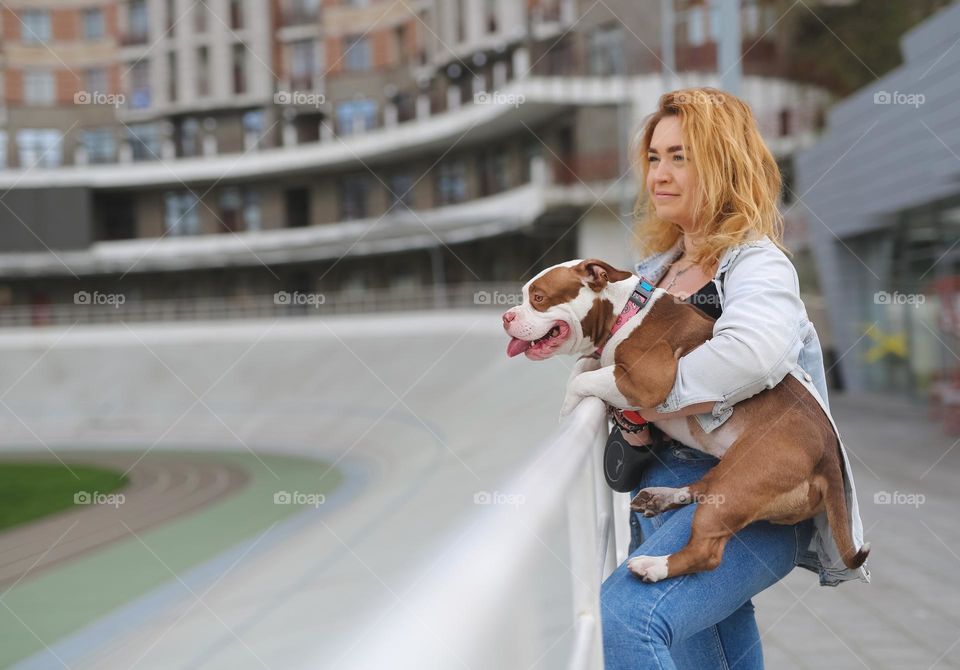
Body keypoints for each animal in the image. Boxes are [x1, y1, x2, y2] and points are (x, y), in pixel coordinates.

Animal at [502, 260, 872, 584]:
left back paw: (653, 566)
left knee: (706, 552)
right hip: (733, 473)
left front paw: (567, 408)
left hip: (744, 477)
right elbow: (584, 366)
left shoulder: (647, 380)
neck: (625, 312)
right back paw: (663, 498)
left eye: (538, 298)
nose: (506, 316)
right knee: (703, 487)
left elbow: (581, 378)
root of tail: (829, 454)